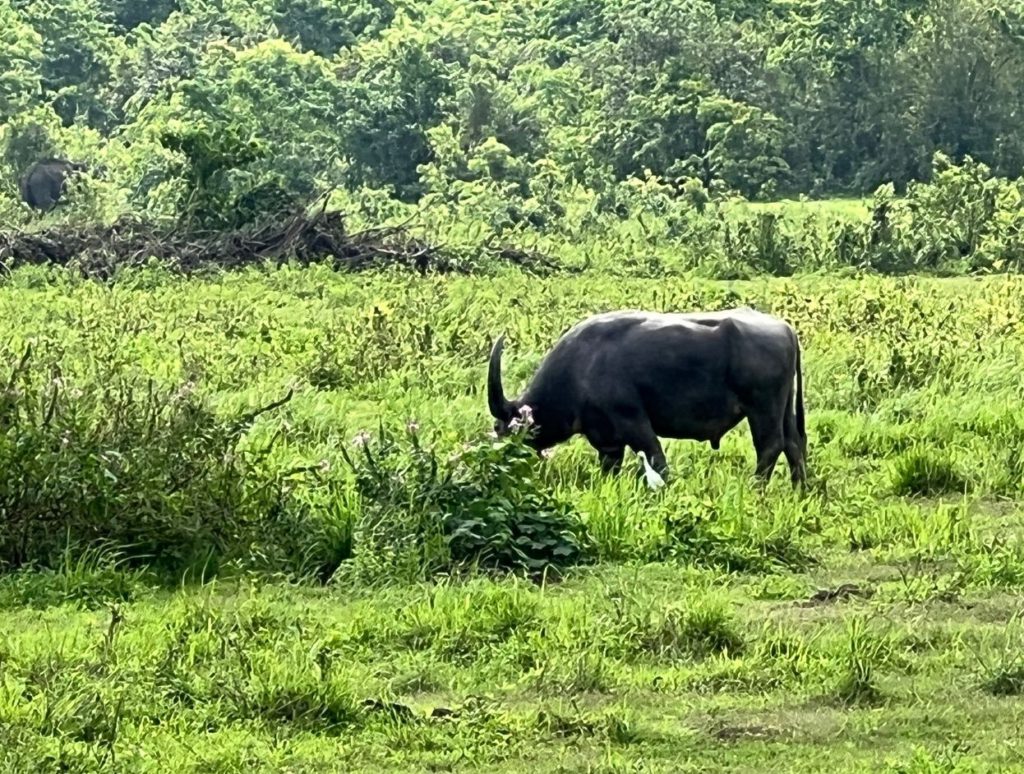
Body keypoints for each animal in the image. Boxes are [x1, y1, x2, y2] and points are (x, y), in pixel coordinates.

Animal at [487, 307, 806, 483]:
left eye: (502, 428)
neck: (580, 367)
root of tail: (785, 329)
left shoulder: (633, 420)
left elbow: (657, 461)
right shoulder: (607, 441)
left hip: (762, 408)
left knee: (770, 447)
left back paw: (756, 489)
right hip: (785, 408)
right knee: (794, 445)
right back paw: (799, 492)